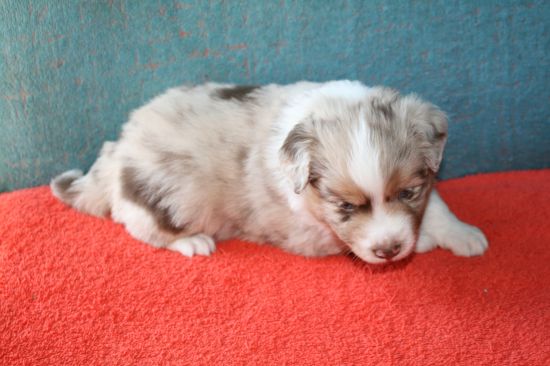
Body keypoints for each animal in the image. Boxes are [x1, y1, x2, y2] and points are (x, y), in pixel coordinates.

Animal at [51, 81, 490, 264]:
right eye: (345, 206)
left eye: (407, 193)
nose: (390, 250)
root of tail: (118, 149)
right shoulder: (305, 233)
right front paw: (425, 241)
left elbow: (436, 204)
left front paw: (464, 234)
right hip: (172, 196)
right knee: (140, 225)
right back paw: (192, 242)